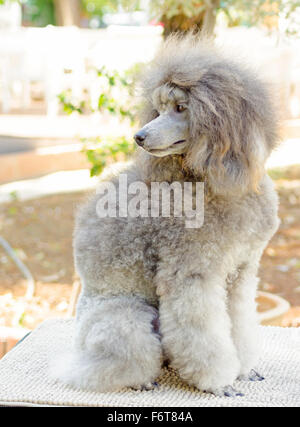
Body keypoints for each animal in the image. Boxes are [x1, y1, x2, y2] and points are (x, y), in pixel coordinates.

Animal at [52, 36, 280, 398]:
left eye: (180, 109)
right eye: (157, 110)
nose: (139, 137)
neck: (214, 183)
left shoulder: (241, 272)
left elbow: (239, 323)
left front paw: (243, 369)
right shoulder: (191, 274)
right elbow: (201, 332)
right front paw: (219, 382)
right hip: (127, 320)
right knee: (106, 365)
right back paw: (140, 379)